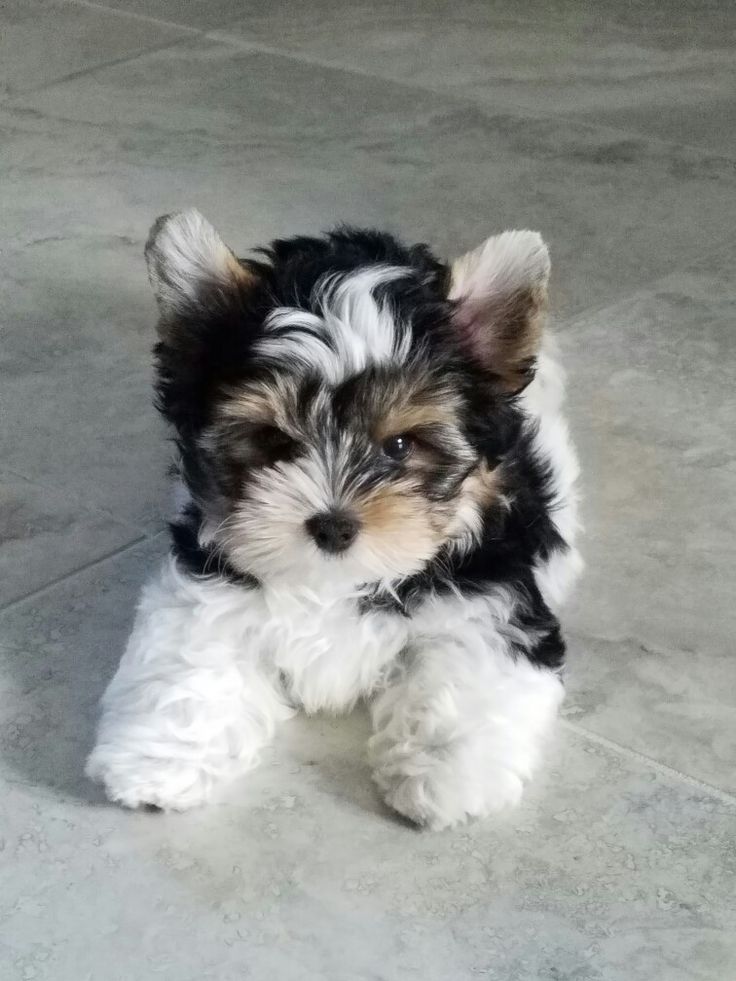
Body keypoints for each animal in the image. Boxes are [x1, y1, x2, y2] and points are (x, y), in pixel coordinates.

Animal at [86, 212, 580, 828]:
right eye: (273, 441)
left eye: (400, 445)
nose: (333, 525)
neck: (334, 582)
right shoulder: (207, 585)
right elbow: (189, 664)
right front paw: (160, 762)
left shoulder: (492, 598)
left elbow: (473, 673)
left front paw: (445, 775)